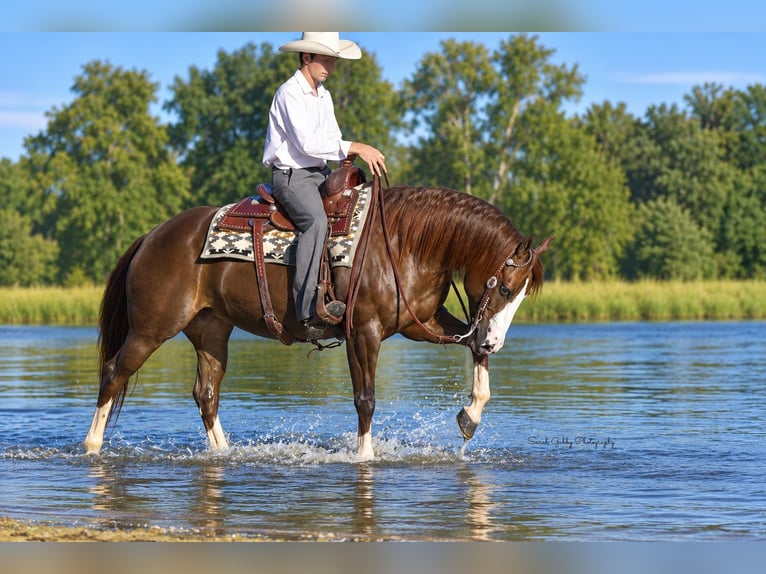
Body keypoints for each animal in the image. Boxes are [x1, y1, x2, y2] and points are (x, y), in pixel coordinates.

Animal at [83, 184, 552, 460]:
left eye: (521, 294)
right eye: (505, 288)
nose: (496, 342)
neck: (402, 242)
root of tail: (152, 236)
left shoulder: (422, 323)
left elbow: (470, 349)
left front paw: (470, 415)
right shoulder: (364, 332)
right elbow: (366, 399)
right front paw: (364, 457)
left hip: (210, 331)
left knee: (206, 394)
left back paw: (224, 453)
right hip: (151, 329)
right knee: (112, 374)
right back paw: (91, 446)